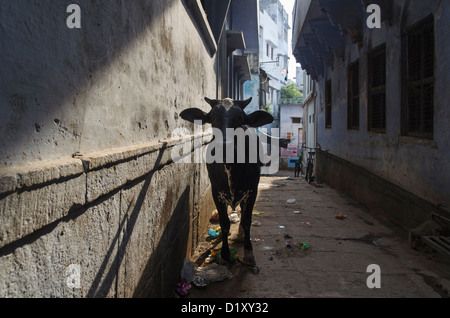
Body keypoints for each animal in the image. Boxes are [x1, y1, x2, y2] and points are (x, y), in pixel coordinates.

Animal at [180, 97, 274, 266]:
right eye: (212, 117)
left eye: (240, 118)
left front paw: (248, 253)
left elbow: (247, 221)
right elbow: (224, 223)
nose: (225, 146)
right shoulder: (216, 192)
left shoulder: (252, 191)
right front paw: (224, 254)